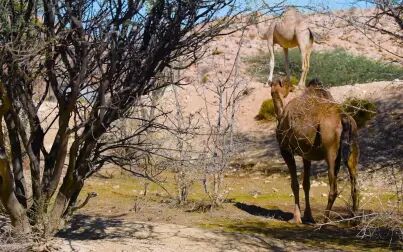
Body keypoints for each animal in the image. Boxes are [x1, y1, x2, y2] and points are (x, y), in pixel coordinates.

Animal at [272, 78, 360, 223]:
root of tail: (344, 118)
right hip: (353, 145)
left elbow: (294, 184)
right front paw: (308, 216)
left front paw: (296, 218)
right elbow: (306, 183)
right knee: (355, 184)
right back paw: (355, 220)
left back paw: (324, 221)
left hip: (330, 151)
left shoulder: (285, 149)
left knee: (334, 189)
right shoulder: (306, 154)